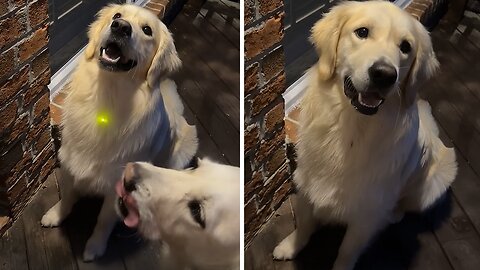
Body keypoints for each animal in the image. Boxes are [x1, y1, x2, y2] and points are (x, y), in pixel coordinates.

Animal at [41, 3, 197, 262]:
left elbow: (104, 220)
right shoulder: (71, 160)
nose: (120, 27)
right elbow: (69, 195)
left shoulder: (118, 182)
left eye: (147, 30)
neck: (108, 95)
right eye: (117, 16)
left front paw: (95, 247)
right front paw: (55, 215)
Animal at [274, 2, 458, 270]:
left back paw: (394, 213)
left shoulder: (366, 215)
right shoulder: (308, 182)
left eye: (405, 47)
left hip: (439, 177)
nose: (384, 74)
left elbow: (347, 251)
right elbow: (305, 224)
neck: (352, 128)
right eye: (362, 32)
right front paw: (290, 246)